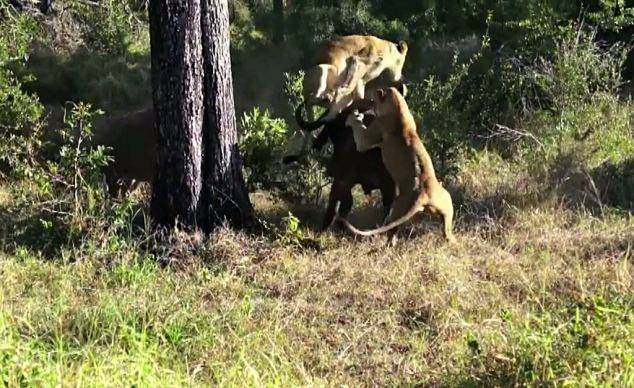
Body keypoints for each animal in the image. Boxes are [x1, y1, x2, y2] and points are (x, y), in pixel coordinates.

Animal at [338, 86, 456, 244]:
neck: (398, 107)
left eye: (372, 98)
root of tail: (422, 195)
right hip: (447, 203)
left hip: (396, 209)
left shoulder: (368, 136)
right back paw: (453, 242)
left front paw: (354, 117)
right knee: (447, 232)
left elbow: (359, 131)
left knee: (392, 233)